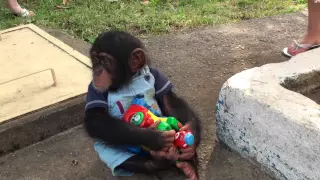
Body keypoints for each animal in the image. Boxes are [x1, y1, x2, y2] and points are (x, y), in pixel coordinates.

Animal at [84, 30, 201, 179]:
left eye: (105, 61)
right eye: (95, 59)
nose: (97, 70)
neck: (128, 81)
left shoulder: (158, 75)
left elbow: (169, 100)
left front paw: (191, 133)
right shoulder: (94, 89)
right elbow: (95, 119)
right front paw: (154, 137)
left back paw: (189, 165)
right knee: (123, 158)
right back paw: (160, 161)